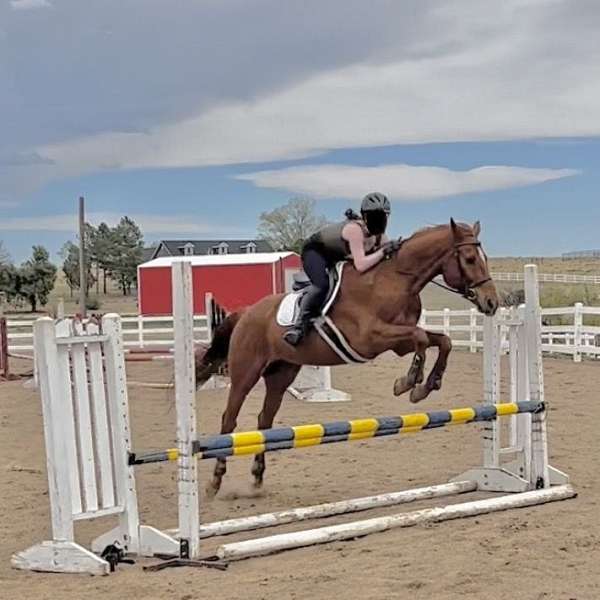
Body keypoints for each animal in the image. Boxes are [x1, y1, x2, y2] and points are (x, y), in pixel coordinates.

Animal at [196, 220, 496, 496]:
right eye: (470, 259)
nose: (492, 302)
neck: (395, 280)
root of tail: (246, 313)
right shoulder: (372, 339)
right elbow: (422, 338)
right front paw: (409, 382)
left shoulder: (400, 342)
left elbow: (442, 341)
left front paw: (426, 385)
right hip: (246, 372)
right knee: (229, 420)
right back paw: (215, 482)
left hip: (281, 374)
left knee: (264, 421)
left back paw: (257, 477)